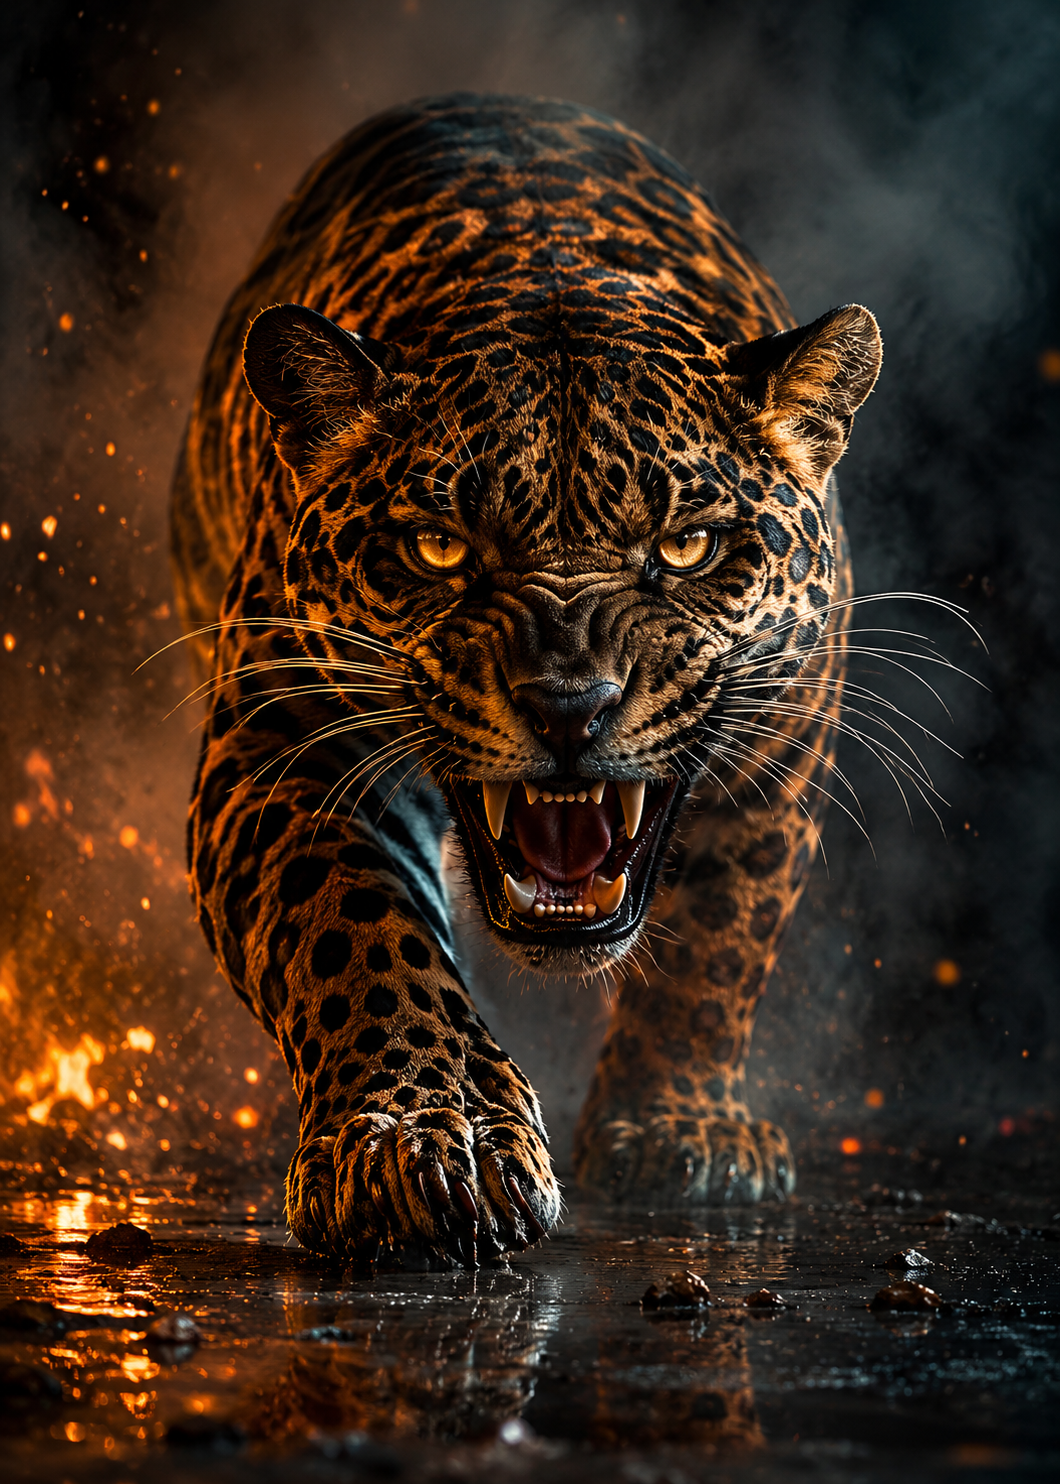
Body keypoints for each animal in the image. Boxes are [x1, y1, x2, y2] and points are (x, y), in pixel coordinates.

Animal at [171, 93, 881, 1269]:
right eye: (439, 548)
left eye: (686, 546)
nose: (569, 708)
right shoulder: (285, 749)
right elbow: (358, 933)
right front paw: (423, 1134)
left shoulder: (782, 751)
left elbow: (724, 941)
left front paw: (680, 1128)